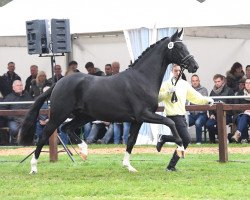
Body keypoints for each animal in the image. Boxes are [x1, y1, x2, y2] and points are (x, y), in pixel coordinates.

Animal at [18, 28, 199, 173]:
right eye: (179, 47)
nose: (194, 66)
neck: (142, 79)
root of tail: (58, 83)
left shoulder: (137, 120)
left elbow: (131, 141)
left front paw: (129, 166)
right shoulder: (144, 114)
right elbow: (171, 122)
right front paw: (180, 148)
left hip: (85, 116)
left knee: (67, 128)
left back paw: (84, 152)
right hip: (59, 114)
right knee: (46, 135)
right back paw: (33, 167)